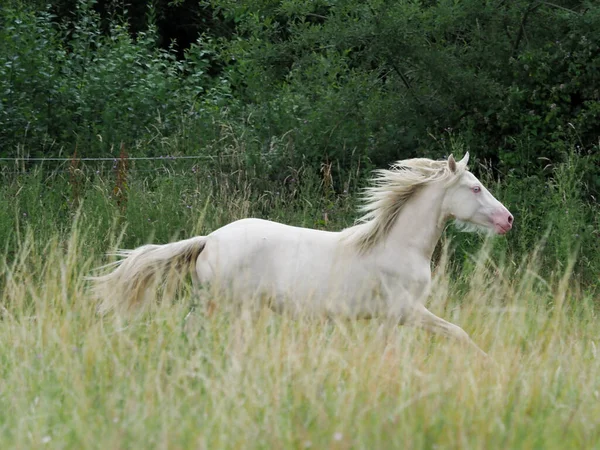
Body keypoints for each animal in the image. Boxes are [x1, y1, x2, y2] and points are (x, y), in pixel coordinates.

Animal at [91, 153, 512, 356]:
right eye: (475, 188)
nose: (507, 219)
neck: (398, 246)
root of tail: (209, 239)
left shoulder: (388, 319)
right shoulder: (407, 311)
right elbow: (459, 333)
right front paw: (486, 362)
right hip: (224, 305)